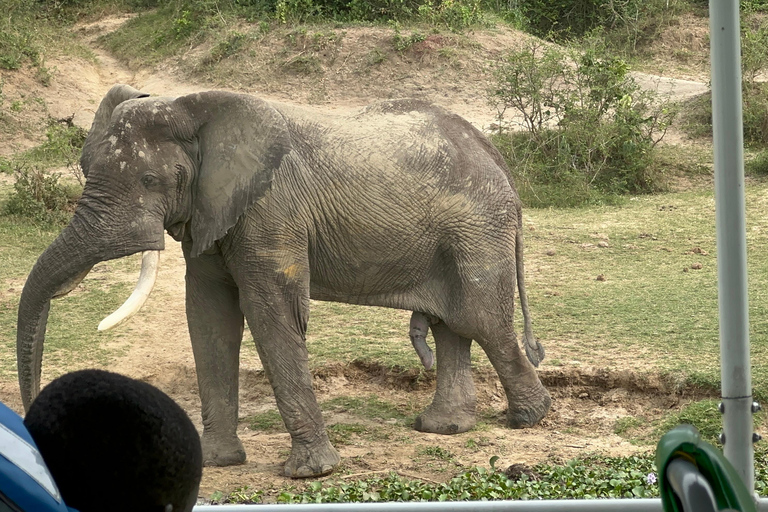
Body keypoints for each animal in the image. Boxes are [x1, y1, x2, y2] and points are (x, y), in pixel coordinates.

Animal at [15, 85, 548, 480]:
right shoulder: (214, 212)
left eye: (149, 180)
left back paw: (529, 418)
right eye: (86, 169)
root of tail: (495, 156)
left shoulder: (271, 210)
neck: (193, 108)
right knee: (451, 324)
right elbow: (208, 316)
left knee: (481, 320)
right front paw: (216, 463)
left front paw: (310, 473)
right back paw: (444, 428)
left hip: (477, 230)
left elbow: (270, 312)